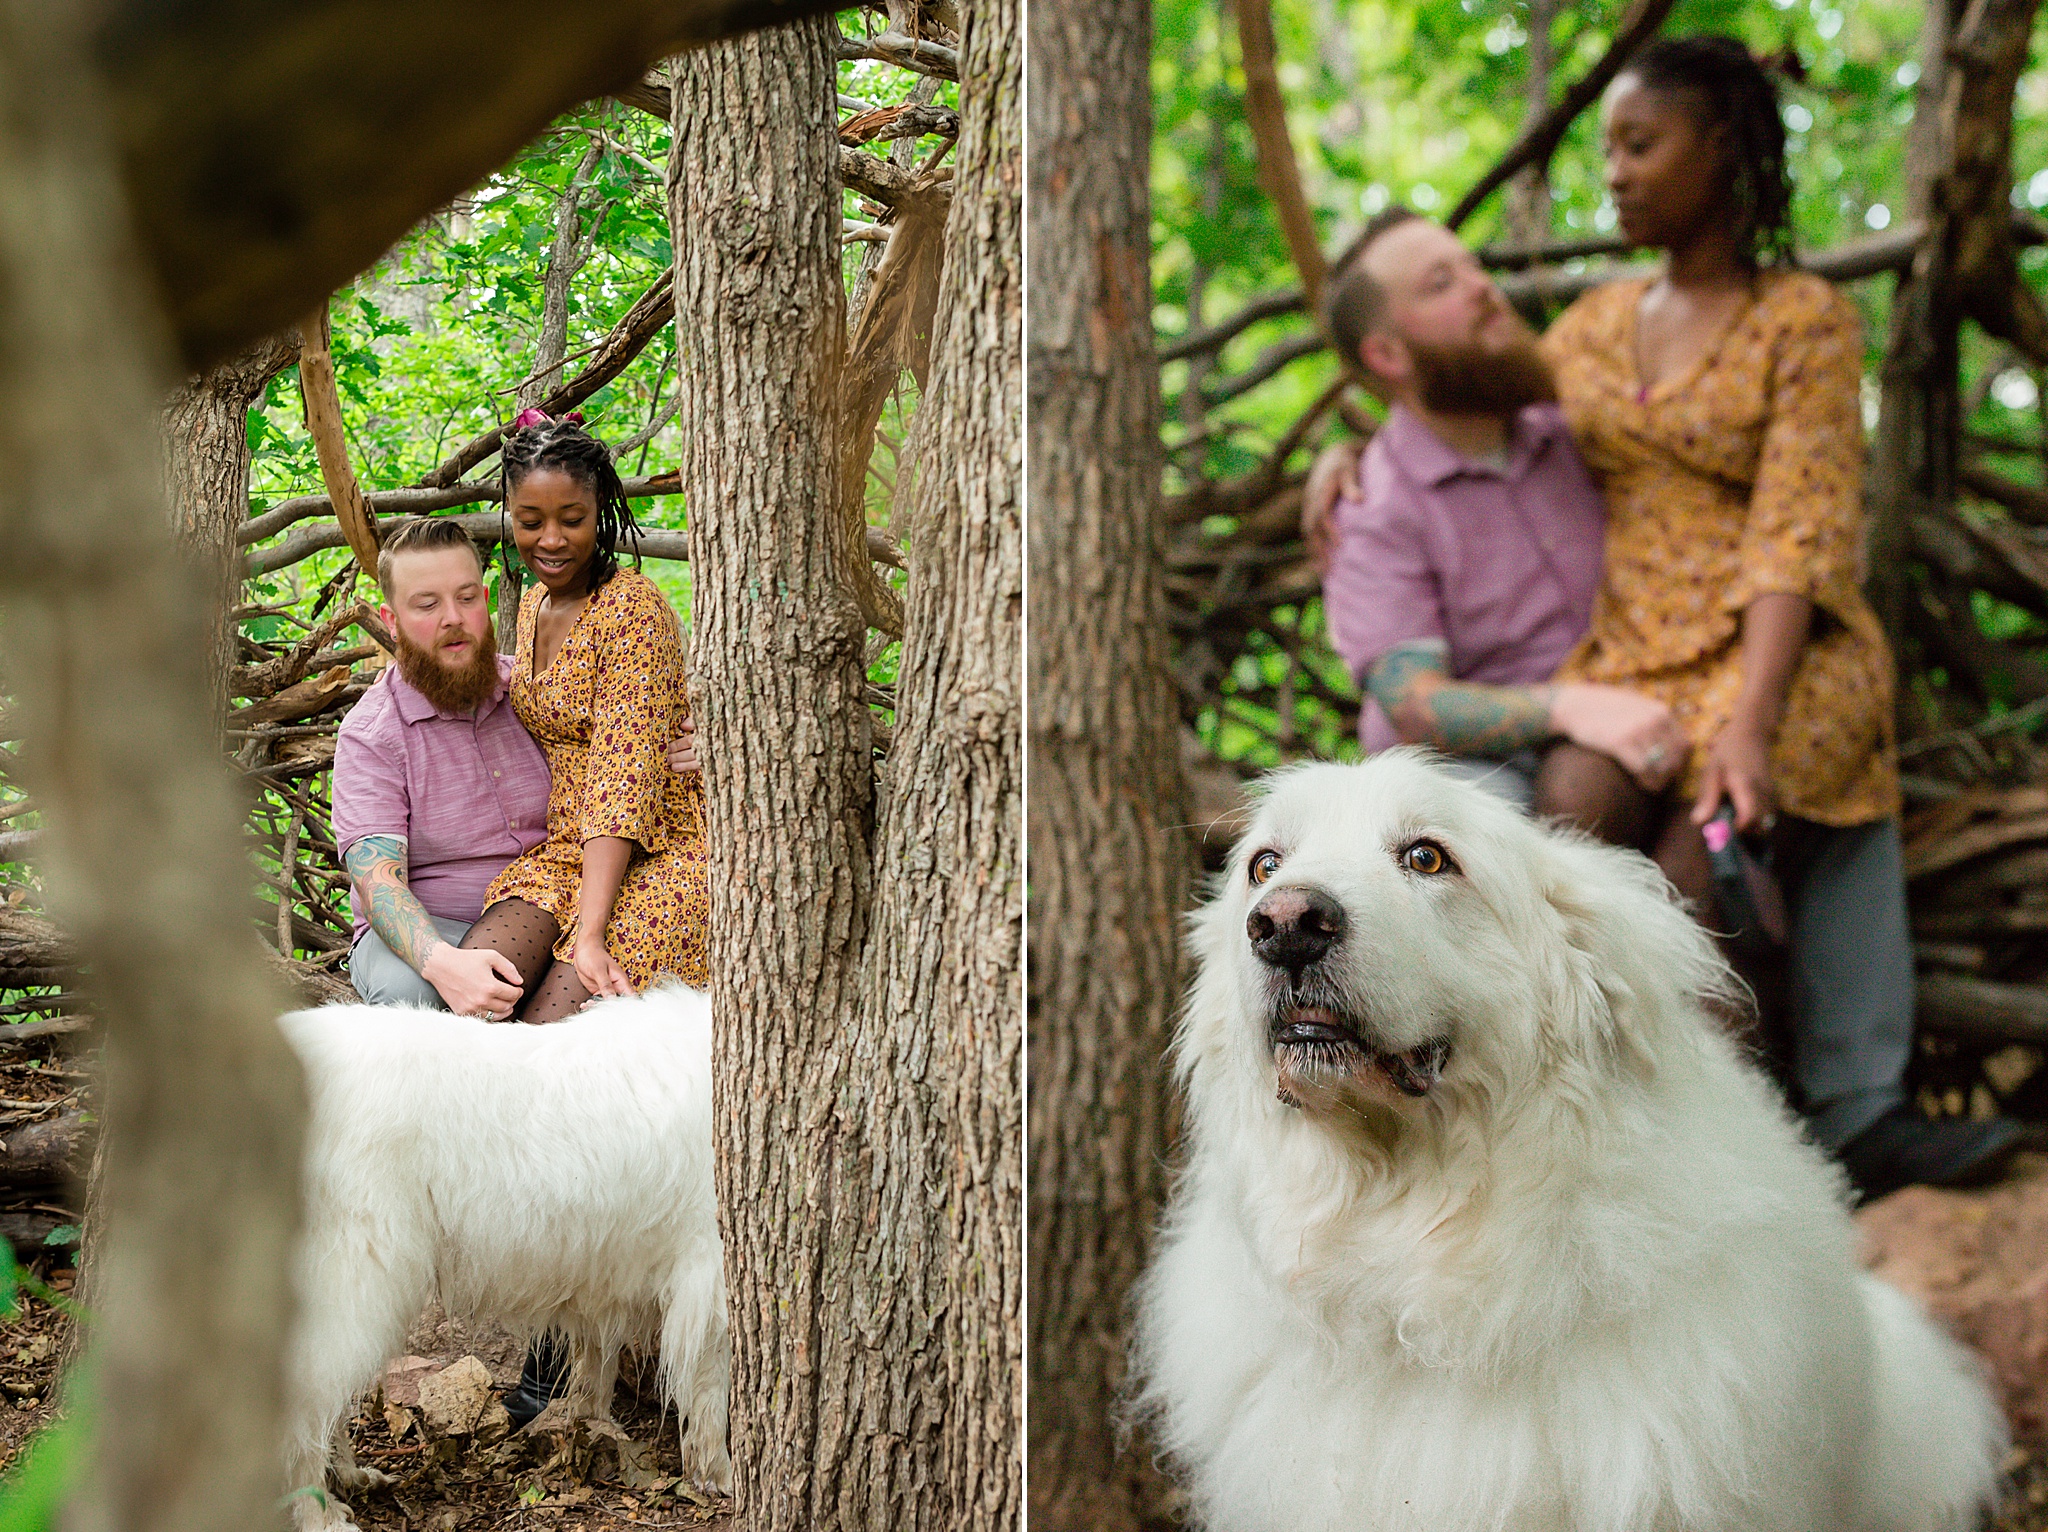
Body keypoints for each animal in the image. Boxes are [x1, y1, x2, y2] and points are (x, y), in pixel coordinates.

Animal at [276, 983, 729, 1523]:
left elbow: (597, 1369)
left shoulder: (605, 1278)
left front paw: (594, 1428)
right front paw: (720, 1476)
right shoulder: (708, 1275)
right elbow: (710, 1390)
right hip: (356, 1277)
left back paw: (351, 1477)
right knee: (301, 1405)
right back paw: (319, 1517)